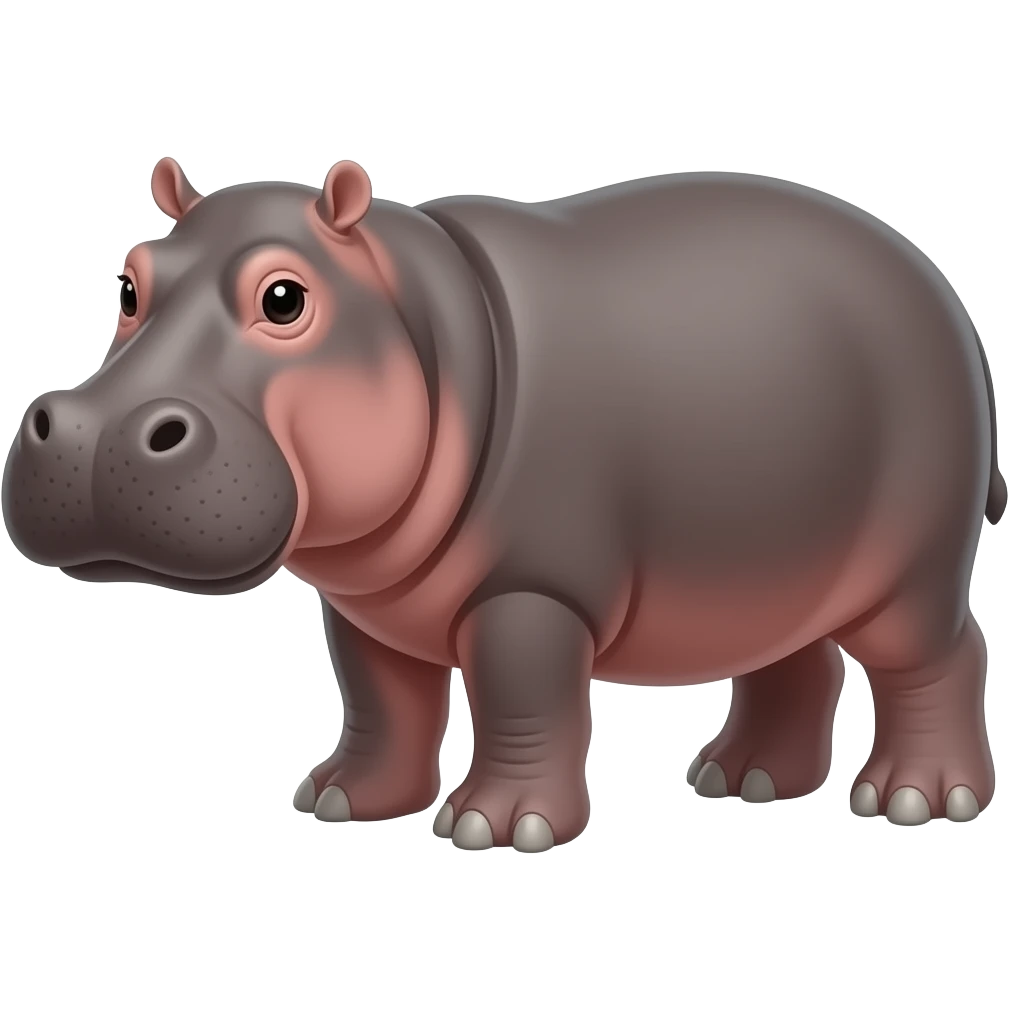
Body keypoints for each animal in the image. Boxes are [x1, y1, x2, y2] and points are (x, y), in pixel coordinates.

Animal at [2, 159, 1002, 848]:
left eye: (284, 297)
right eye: (130, 282)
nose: (87, 429)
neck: (421, 318)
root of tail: (936, 282)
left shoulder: (531, 588)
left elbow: (520, 694)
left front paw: (495, 826)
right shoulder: (366, 605)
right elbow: (379, 699)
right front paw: (340, 799)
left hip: (910, 566)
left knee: (940, 654)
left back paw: (914, 798)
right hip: (776, 552)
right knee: (794, 654)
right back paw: (742, 779)